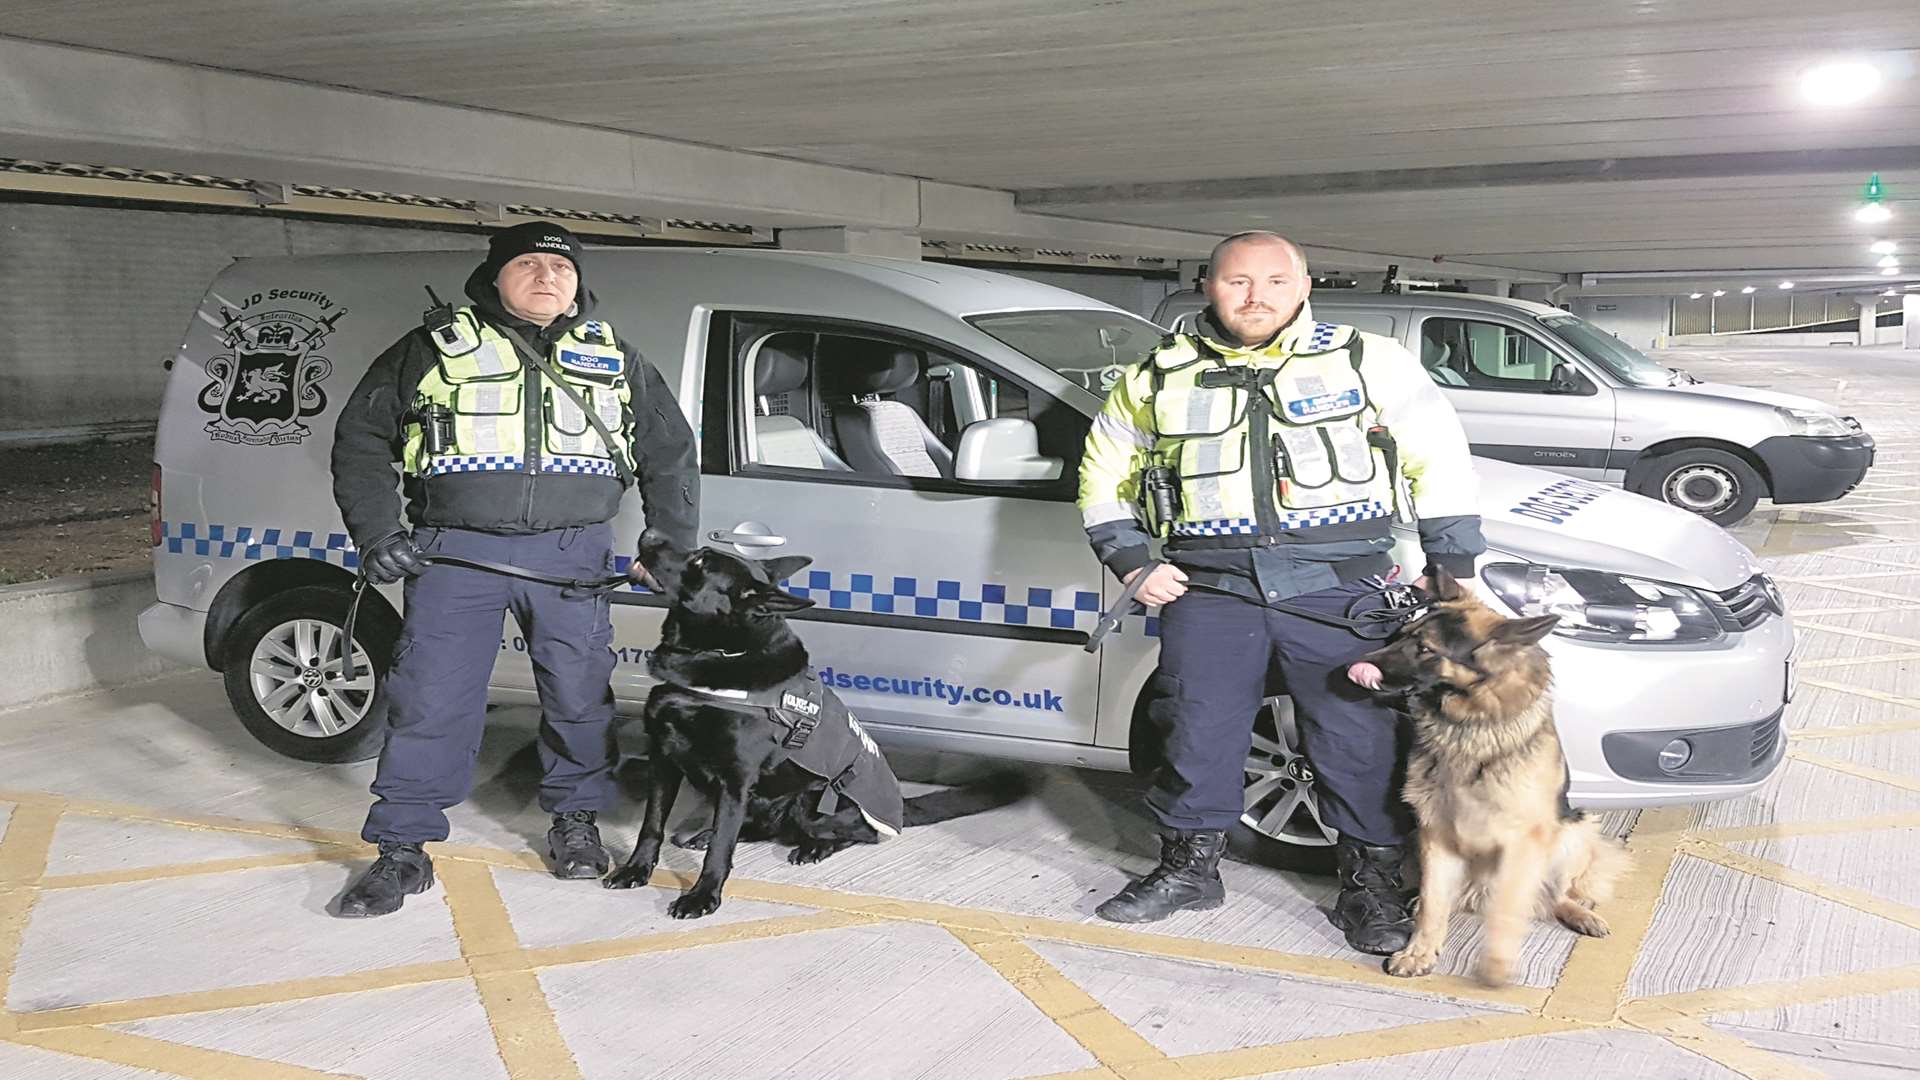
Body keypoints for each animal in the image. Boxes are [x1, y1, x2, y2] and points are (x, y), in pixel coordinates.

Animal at [606, 526, 1029, 910]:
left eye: (700, 561)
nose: (649, 531)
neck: (719, 652)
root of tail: (899, 807)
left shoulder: (735, 779)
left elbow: (721, 851)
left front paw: (703, 896)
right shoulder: (664, 761)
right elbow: (652, 825)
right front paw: (636, 869)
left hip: (815, 804)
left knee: (849, 835)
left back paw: (813, 848)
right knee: (755, 828)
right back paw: (708, 833)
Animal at [1344, 568, 1628, 980]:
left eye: (1426, 649)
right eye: (1403, 633)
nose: (1353, 666)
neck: (1468, 726)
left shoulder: (1525, 838)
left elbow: (1511, 908)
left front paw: (1497, 961)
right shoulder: (1434, 831)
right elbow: (1433, 902)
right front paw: (1420, 952)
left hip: (1573, 833)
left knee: (1554, 893)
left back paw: (1579, 913)